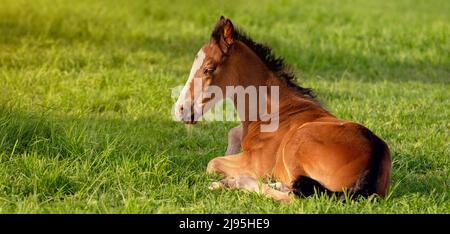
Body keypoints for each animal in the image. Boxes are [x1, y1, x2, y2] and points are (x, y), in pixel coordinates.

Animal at [174, 16, 392, 201]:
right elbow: (232, 135)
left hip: (298, 145)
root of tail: (375, 156)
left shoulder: (255, 163)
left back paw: (239, 182)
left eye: (208, 69)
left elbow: (213, 162)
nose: (180, 110)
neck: (271, 110)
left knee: (295, 197)